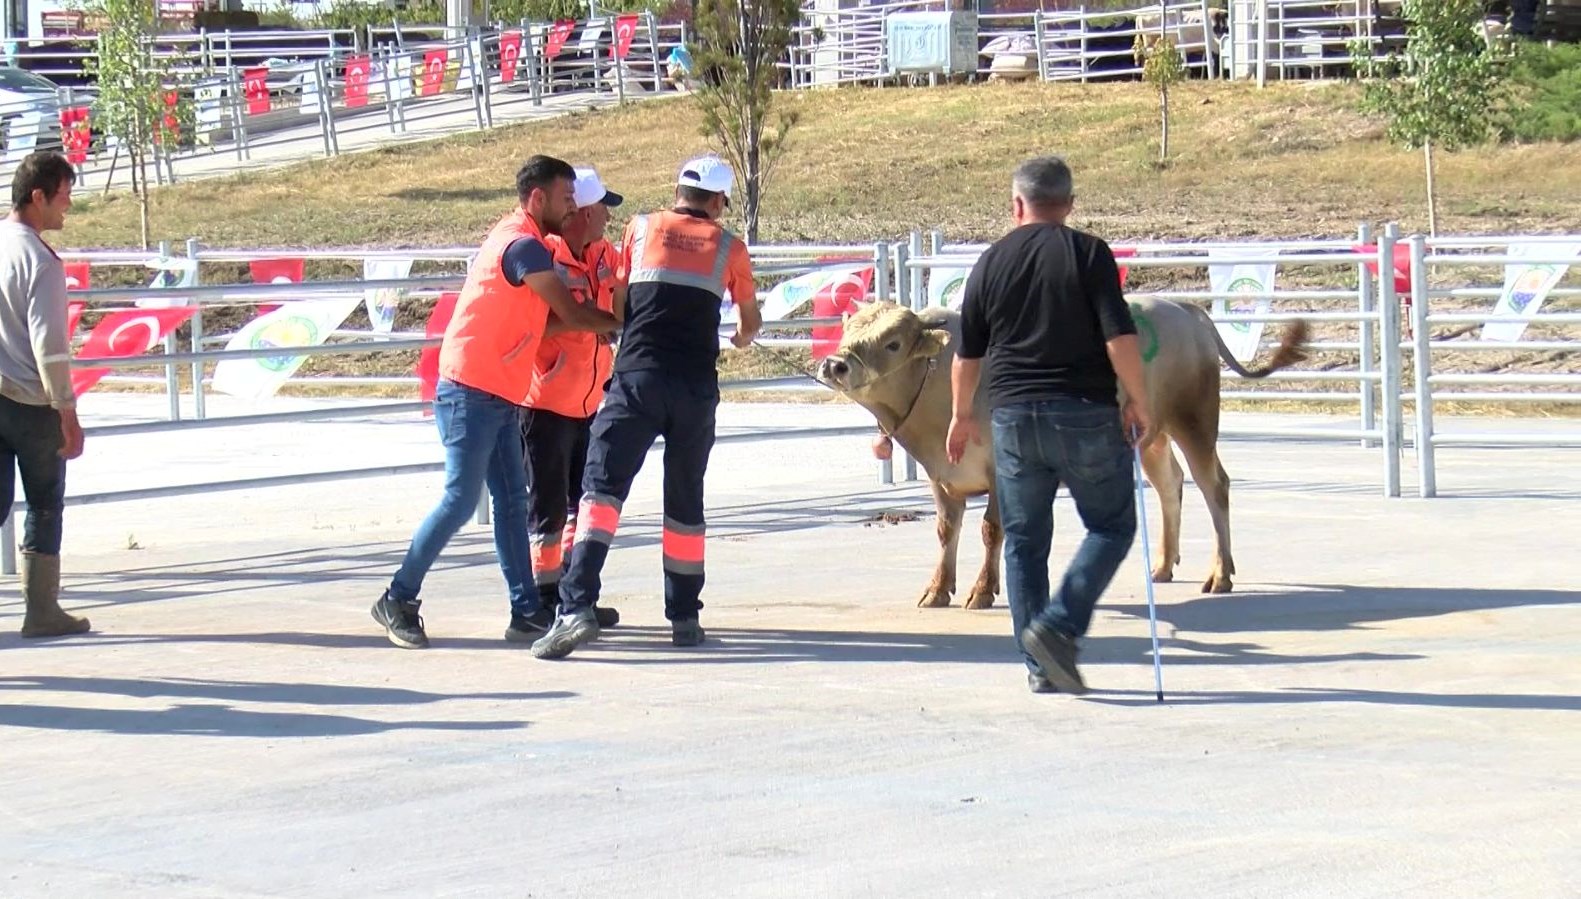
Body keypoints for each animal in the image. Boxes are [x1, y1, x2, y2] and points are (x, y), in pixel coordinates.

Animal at [815, 300, 1309, 603]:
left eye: (893, 342)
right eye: (848, 329)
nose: (835, 364)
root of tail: (1185, 310)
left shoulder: (1000, 469)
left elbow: (992, 530)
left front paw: (983, 590)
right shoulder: (942, 474)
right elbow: (945, 531)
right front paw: (937, 590)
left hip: (1195, 420)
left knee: (1214, 486)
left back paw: (1220, 574)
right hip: (1149, 434)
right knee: (1171, 484)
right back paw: (1163, 565)